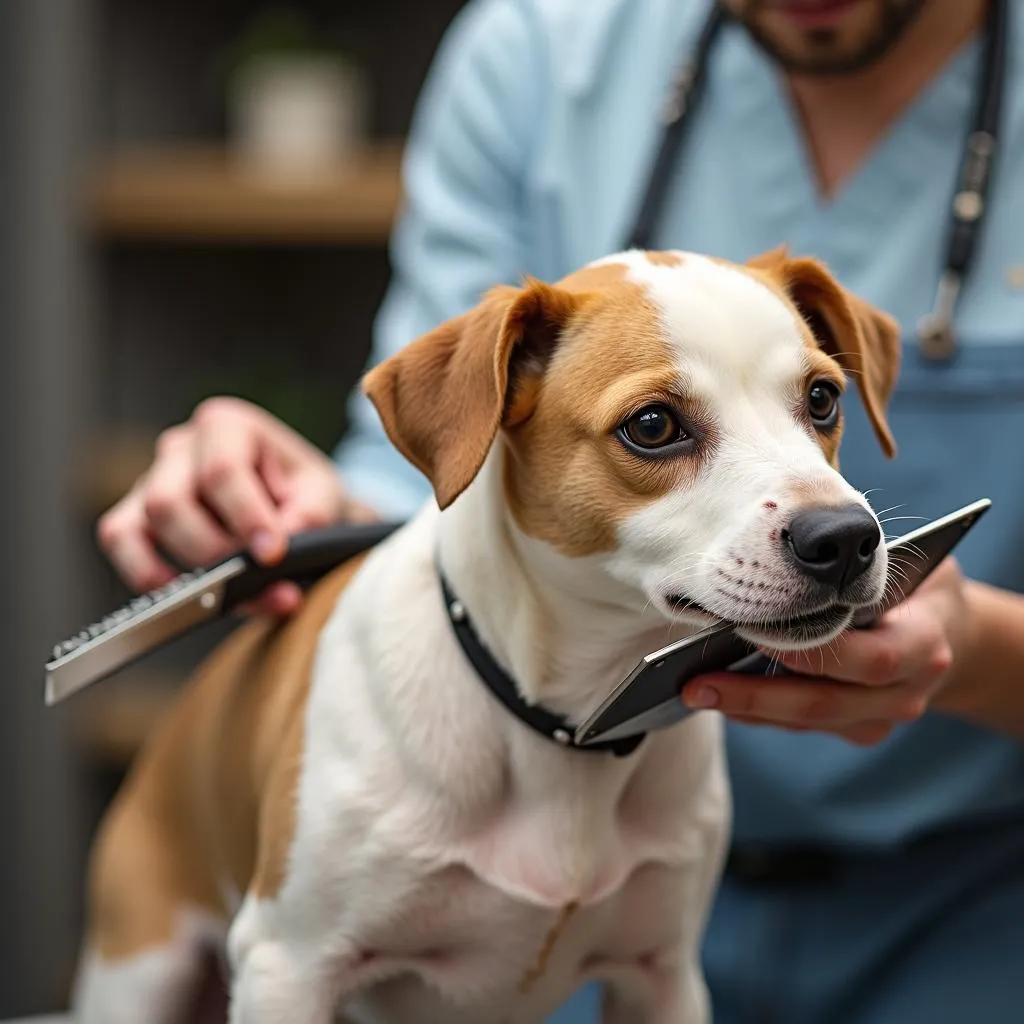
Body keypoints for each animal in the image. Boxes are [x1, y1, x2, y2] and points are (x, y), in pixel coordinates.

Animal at [72, 243, 901, 1019]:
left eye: (822, 398)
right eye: (653, 426)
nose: (844, 539)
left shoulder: (662, 977)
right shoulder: (289, 965)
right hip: (140, 970)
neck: (566, 728)